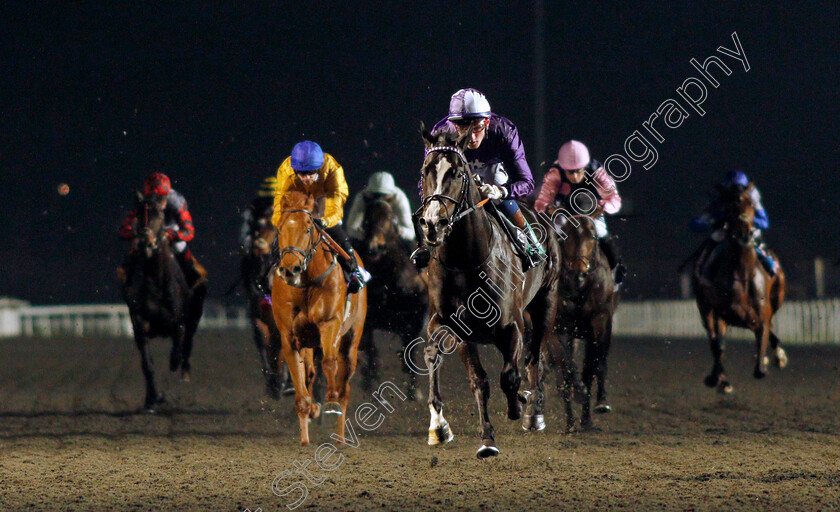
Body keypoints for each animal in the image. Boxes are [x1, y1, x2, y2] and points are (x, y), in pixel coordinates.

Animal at [121, 192, 207, 412]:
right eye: (138, 215)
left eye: (160, 215)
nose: (146, 243)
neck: (156, 280)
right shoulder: (140, 323)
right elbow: (147, 364)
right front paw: (154, 398)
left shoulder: (179, 321)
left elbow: (178, 344)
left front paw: (175, 366)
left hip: (196, 315)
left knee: (188, 344)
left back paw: (185, 373)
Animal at [270, 190, 366, 446]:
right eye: (280, 228)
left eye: (307, 228)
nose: (289, 269)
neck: (306, 284)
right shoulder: (290, 337)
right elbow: (300, 380)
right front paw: (305, 434)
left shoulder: (329, 323)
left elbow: (330, 364)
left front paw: (330, 401)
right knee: (310, 374)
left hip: (351, 340)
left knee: (345, 386)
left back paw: (340, 436)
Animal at [354, 198, 426, 398]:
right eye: (366, 220)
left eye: (390, 218)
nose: (374, 247)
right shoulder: (368, 320)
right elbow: (371, 353)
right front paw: (369, 384)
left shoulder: (415, 316)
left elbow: (410, 351)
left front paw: (414, 391)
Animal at [418, 126, 560, 458]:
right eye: (425, 170)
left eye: (457, 173)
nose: (432, 223)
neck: (466, 260)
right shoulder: (454, 326)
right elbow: (476, 379)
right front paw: (470, 435)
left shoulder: (511, 325)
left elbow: (510, 376)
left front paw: (519, 405)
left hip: (546, 302)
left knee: (535, 357)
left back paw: (533, 413)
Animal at [688, 184, 788, 392]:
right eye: (728, 205)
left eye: (751, 203)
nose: (743, 233)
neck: (742, 275)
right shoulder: (719, 312)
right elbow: (718, 345)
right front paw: (718, 379)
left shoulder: (762, 315)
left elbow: (759, 366)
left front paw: (768, 358)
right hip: (704, 307)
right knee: (714, 339)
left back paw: (776, 356)